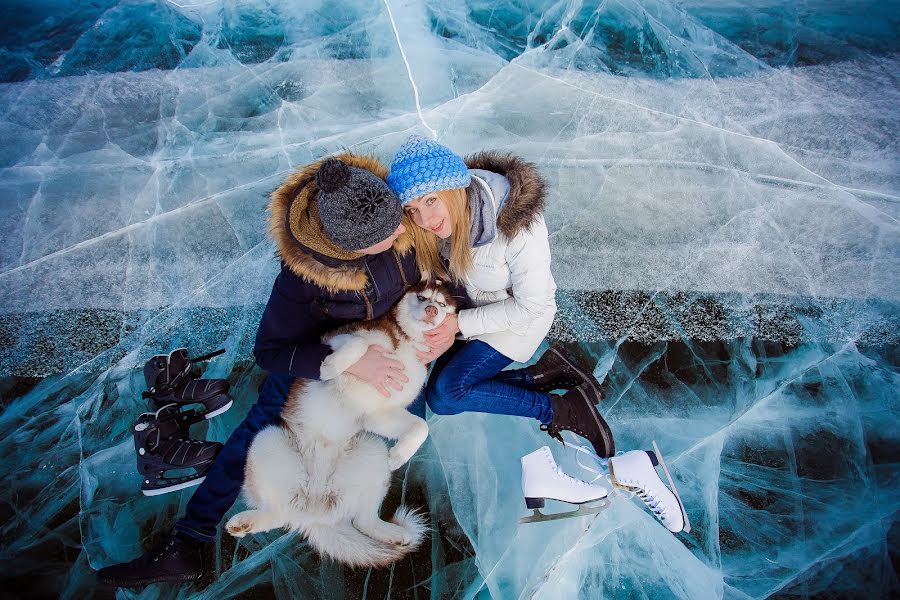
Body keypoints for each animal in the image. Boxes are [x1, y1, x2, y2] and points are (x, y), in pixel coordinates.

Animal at [225, 282, 458, 568]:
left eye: (443, 304)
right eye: (422, 297)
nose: (431, 310)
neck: (406, 341)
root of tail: (314, 512)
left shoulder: (377, 414)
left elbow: (420, 426)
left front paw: (400, 456)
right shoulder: (335, 339)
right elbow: (359, 344)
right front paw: (332, 367)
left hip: (372, 451)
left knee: (362, 520)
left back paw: (395, 534)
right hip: (266, 440)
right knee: (279, 513)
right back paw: (244, 522)